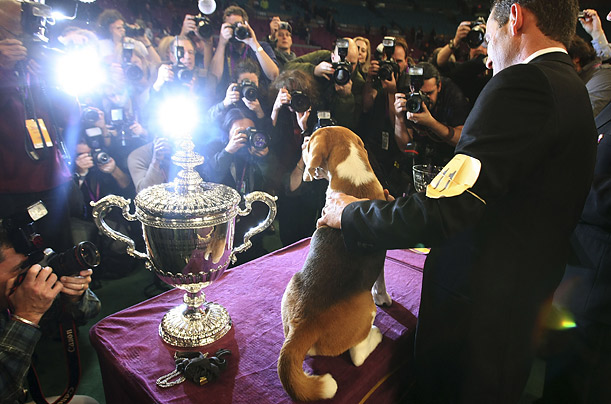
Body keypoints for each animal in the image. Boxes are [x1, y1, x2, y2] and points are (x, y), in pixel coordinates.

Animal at [278, 126, 392, 400]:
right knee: (358, 355)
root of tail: (302, 326)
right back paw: (376, 336)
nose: (303, 140)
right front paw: (384, 297)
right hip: (366, 308)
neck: (353, 175)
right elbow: (381, 281)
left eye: (310, 141)